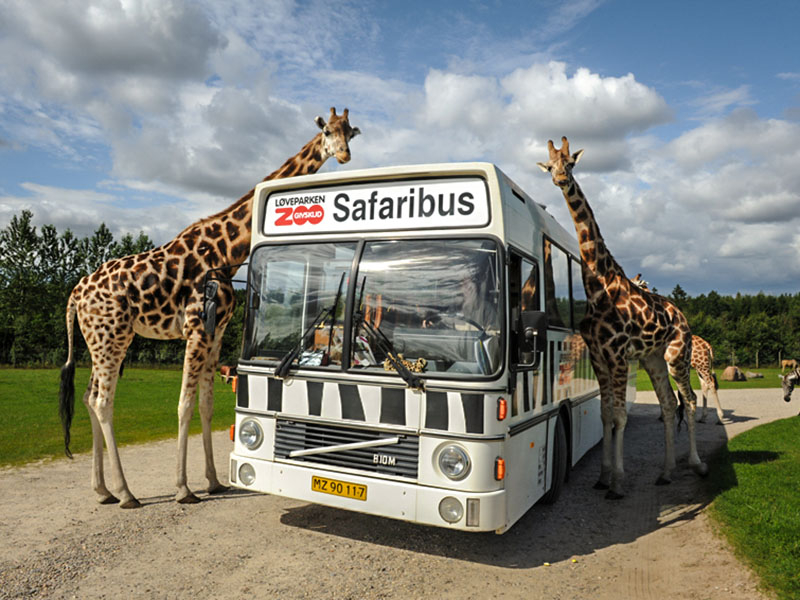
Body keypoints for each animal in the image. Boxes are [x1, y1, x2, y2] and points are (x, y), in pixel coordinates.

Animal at [61, 106, 360, 506]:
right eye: (327, 131)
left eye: (350, 133)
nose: (343, 155)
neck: (227, 251)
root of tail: (75, 295)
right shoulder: (196, 330)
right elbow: (184, 406)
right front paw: (183, 488)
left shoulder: (215, 333)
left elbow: (206, 405)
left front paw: (215, 481)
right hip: (112, 337)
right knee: (102, 402)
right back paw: (126, 493)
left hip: (101, 339)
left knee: (88, 395)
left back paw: (103, 490)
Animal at [536, 138, 708, 500]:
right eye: (550, 166)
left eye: (571, 163)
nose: (561, 180)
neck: (598, 285)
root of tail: (683, 318)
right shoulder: (599, 356)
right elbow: (605, 415)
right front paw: (603, 477)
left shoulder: (616, 354)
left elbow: (619, 416)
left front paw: (617, 482)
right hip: (653, 360)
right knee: (669, 405)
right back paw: (666, 472)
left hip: (677, 356)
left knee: (688, 399)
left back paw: (697, 464)